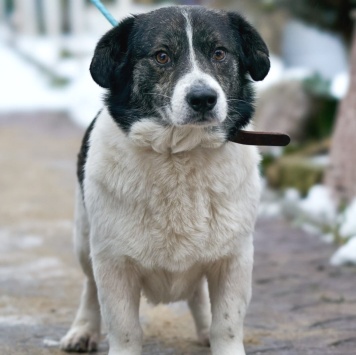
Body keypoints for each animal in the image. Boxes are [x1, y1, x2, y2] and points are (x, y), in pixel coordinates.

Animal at [59, 5, 270, 355]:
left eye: (219, 53)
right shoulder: (112, 262)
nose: (203, 98)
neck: (179, 155)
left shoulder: (234, 258)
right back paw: (82, 331)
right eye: (161, 56)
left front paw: (217, 336)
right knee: (89, 287)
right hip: (82, 239)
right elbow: (125, 330)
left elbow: (226, 325)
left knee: (198, 296)